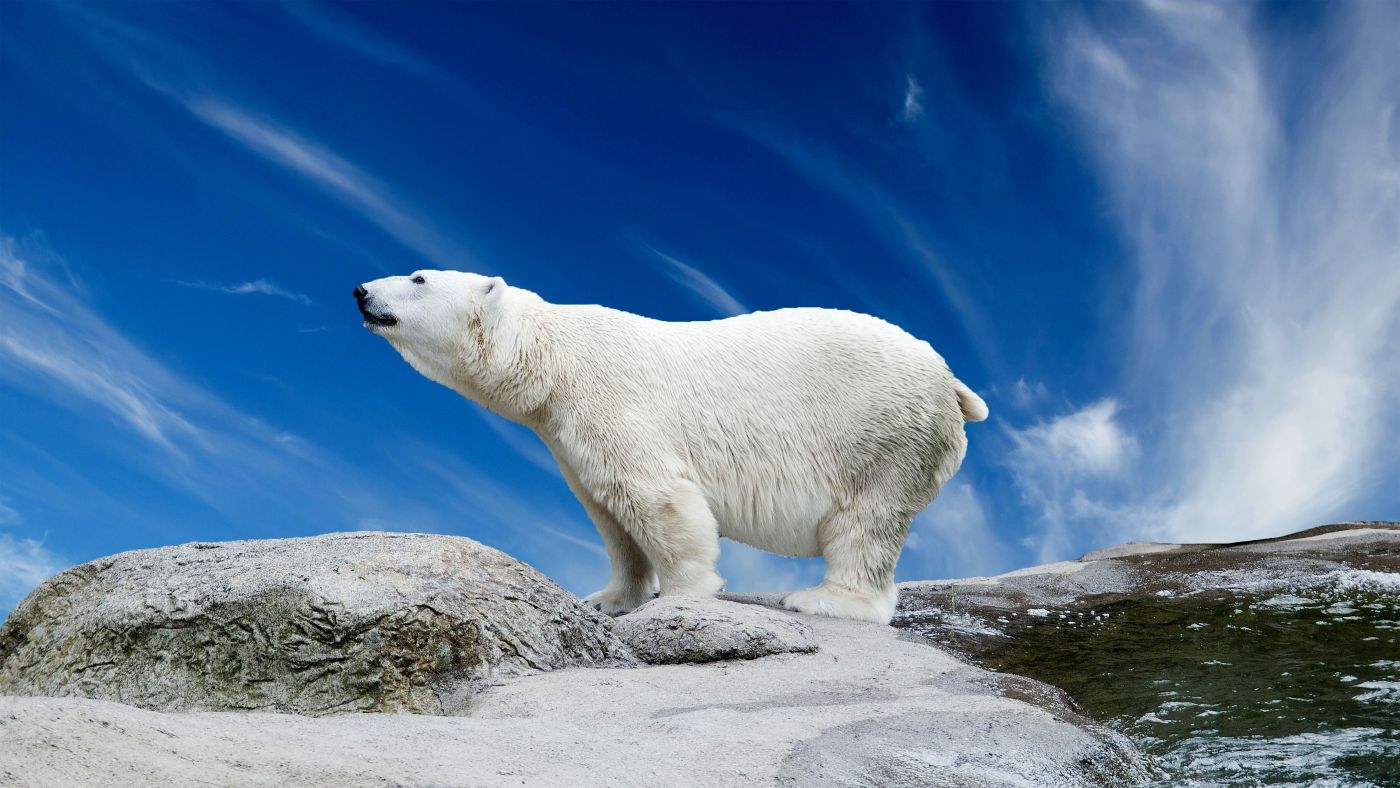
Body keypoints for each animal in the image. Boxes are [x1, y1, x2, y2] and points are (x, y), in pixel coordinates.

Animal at [355, 270, 987, 624]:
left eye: (418, 278)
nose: (360, 290)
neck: (552, 358)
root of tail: (952, 382)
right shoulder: (565, 434)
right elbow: (608, 513)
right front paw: (609, 598)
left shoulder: (613, 403)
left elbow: (656, 498)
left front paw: (685, 596)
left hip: (881, 436)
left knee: (864, 523)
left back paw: (824, 600)